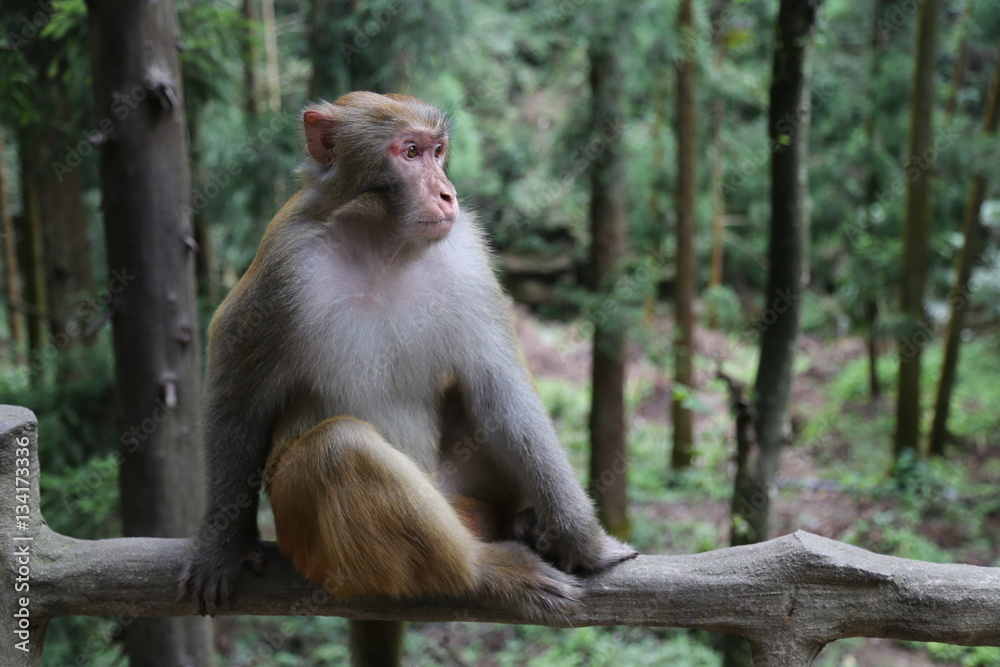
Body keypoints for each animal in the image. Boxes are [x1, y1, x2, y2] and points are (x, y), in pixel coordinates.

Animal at [181, 91, 637, 665]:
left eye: (438, 151)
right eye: (410, 152)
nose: (447, 192)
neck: (384, 246)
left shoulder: (466, 256)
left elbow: (501, 392)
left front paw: (585, 544)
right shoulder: (285, 258)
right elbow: (236, 386)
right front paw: (223, 546)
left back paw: (522, 526)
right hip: (308, 540)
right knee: (336, 449)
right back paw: (483, 572)